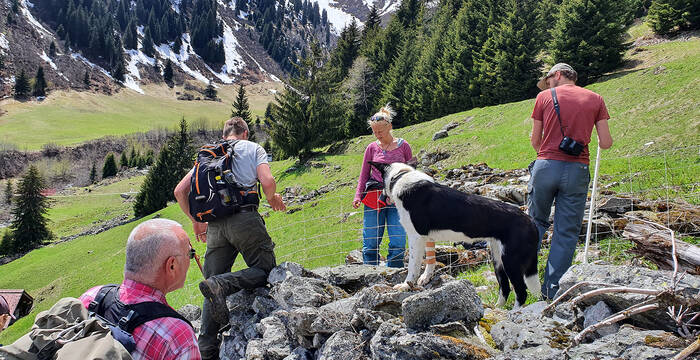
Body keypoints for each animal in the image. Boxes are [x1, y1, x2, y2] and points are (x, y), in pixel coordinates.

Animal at [372, 162, 540, 306]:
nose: (379, 199)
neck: (400, 176)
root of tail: (530, 220)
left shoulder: (416, 237)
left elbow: (413, 267)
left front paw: (406, 286)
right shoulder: (427, 237)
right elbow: (430, 261)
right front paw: (425, 278)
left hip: (511, 261)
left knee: (521, 292)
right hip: (498, 259)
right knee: (505, 288)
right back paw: (497, 309)